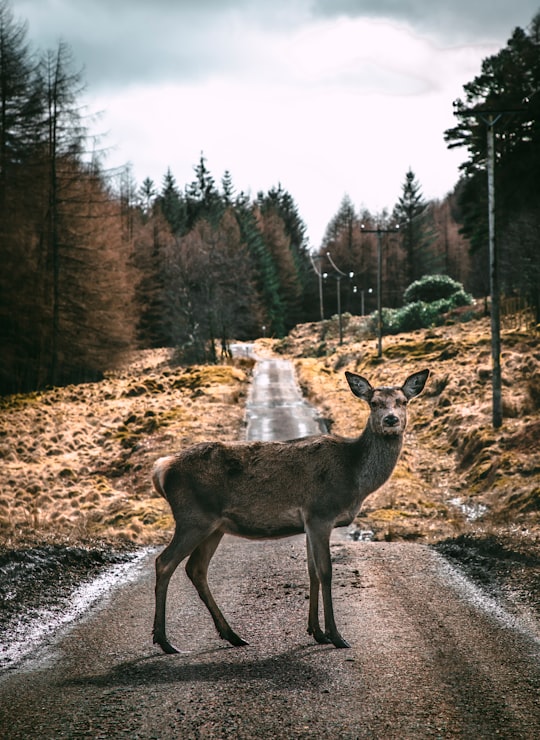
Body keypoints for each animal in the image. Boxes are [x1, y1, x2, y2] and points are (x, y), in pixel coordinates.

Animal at [153, 366, 430, 652]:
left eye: (403, 401)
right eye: (374, 403)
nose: (390, 420)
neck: (353, 477)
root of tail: (162, 468)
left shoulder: (308, 522)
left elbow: (312, 572)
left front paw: (316, 632)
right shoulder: (320, 513)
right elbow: (326, 572)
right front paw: (336, 635)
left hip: (213, 526)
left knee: (196, 569)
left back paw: (232, 635)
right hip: (192, 517)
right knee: (164, 562)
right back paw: (164, 640)